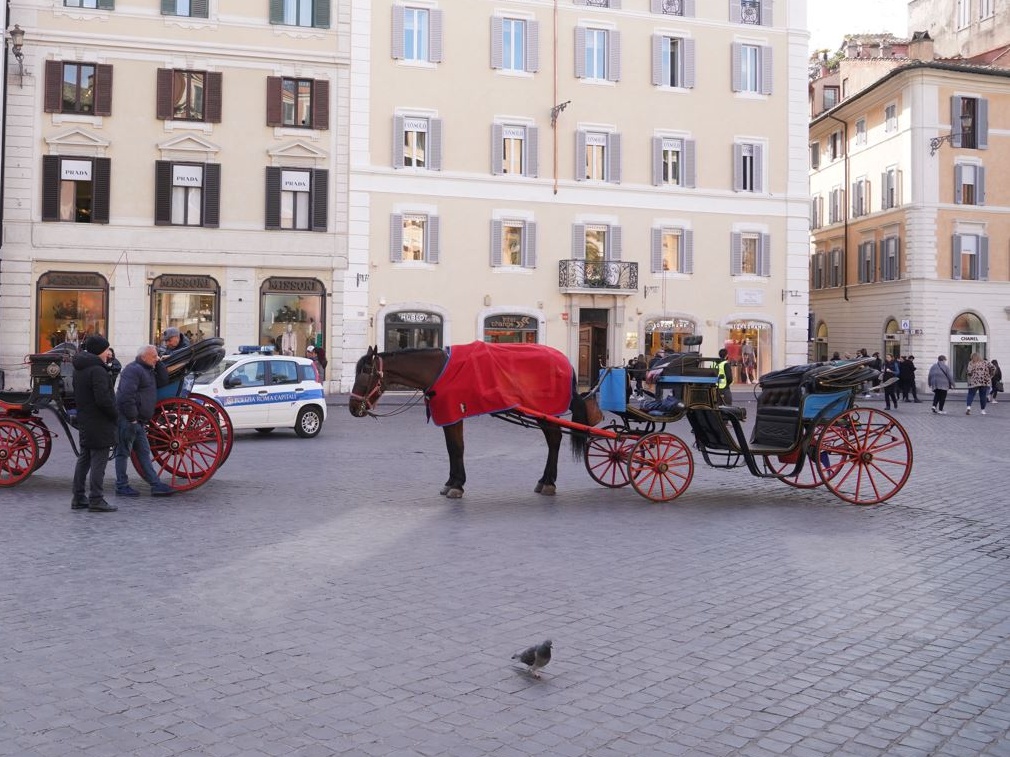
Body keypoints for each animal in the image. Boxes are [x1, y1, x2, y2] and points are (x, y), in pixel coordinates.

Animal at [349, 345, 595, 499]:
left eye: (365, 372)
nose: (352, 407)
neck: (439, 371)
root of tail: (565, 361)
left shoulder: (454, 413)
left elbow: (457, 448)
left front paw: (457, 485)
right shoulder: (449, 416)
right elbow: (451, 449)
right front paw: (451, 482)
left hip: (545, 412)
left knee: (554, 439)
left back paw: (549, 482)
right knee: (554, 439)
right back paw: (545, 480)